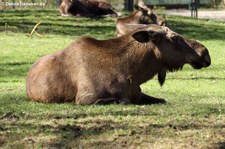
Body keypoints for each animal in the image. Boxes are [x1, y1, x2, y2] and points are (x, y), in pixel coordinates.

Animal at [26, 24, 211, 104]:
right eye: (174, 37)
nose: (205, 53)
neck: (133, 74)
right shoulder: (85, 98)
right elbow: (123, 101)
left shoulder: (138, 93)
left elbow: (162, 100)